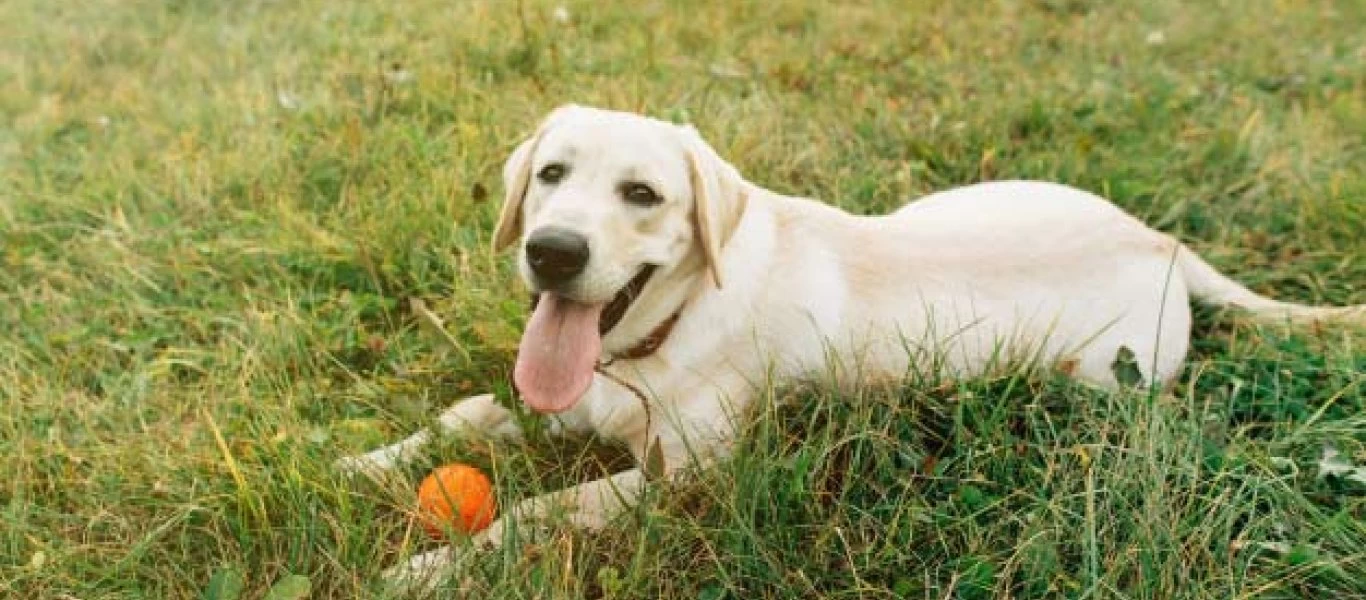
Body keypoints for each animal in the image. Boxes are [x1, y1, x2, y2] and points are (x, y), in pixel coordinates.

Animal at [333, 104, 1366, 587]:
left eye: (642, 196)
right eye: (550, 175)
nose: (552, 251)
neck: (656, 335)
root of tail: (1163, 243)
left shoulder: (685, 478)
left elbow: (544, 509)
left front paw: (431, 568)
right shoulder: (569, 397)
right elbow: (469, 412)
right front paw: (359, 461)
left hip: (1101, 378)